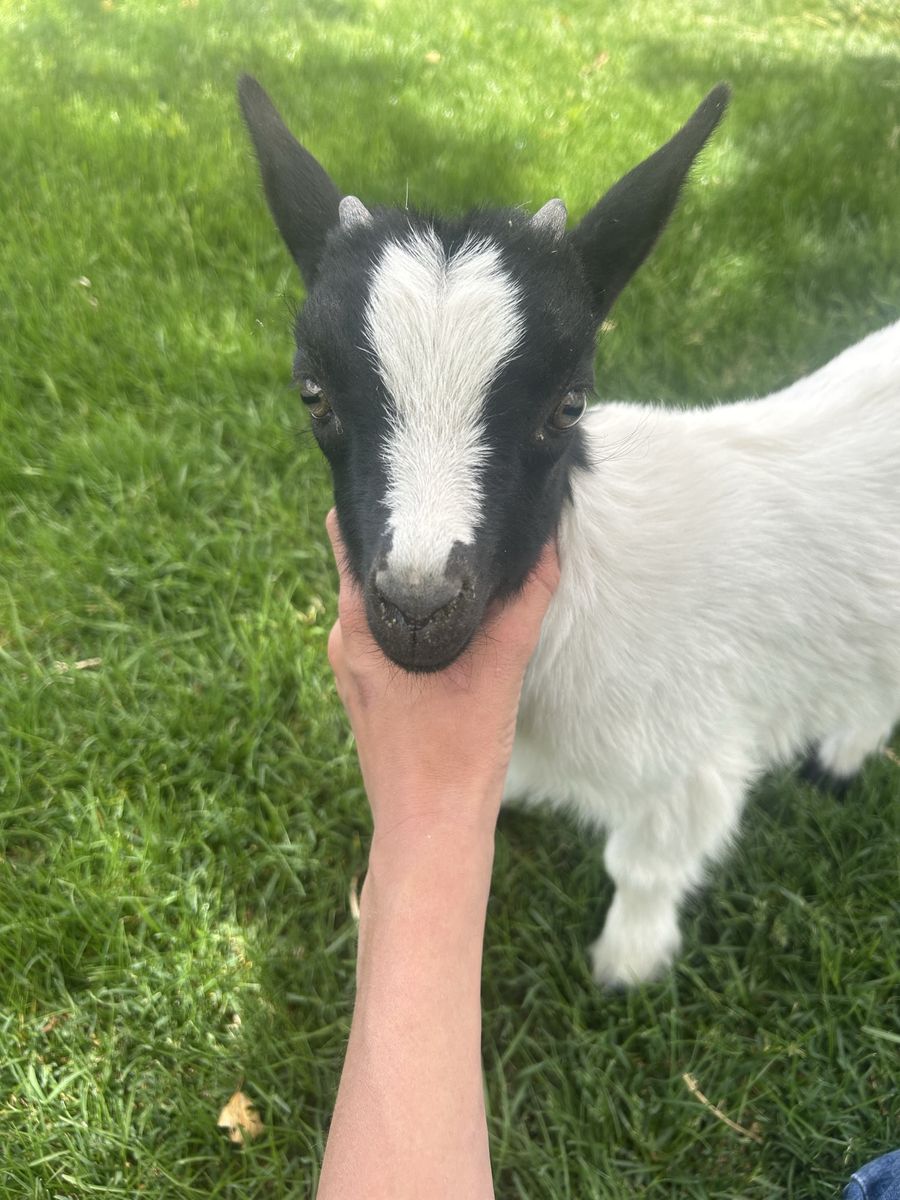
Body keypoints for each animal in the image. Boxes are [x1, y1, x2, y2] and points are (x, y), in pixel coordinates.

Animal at [239, 76, 900, 985]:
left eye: (570, 405)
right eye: (313, 395)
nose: (418, 609)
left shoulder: (689, 763)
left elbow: (647, 865)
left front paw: (629, 962)